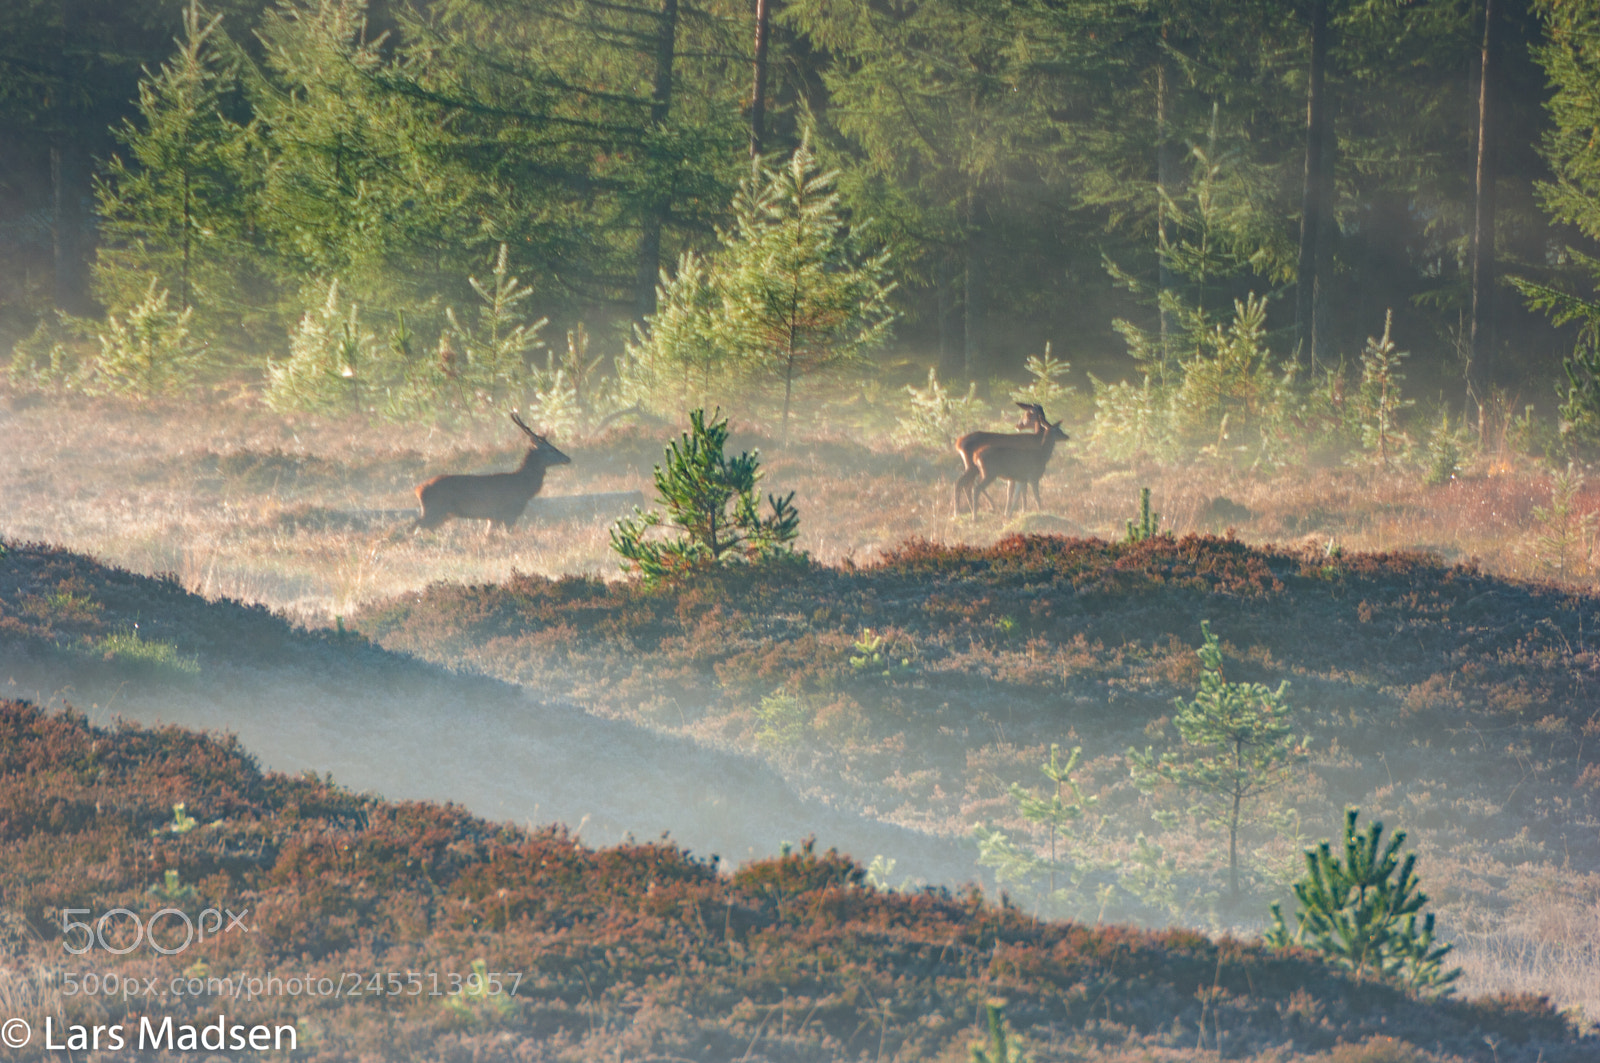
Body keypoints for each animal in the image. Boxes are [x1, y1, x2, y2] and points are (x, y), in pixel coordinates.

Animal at [413, 412, 571, 533]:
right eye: (550, 449)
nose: (567, 458)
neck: (524, 487)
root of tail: (418, 489)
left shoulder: (494, 517)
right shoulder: (509, 513)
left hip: (442, 513)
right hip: (434, 509)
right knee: (414, 526)